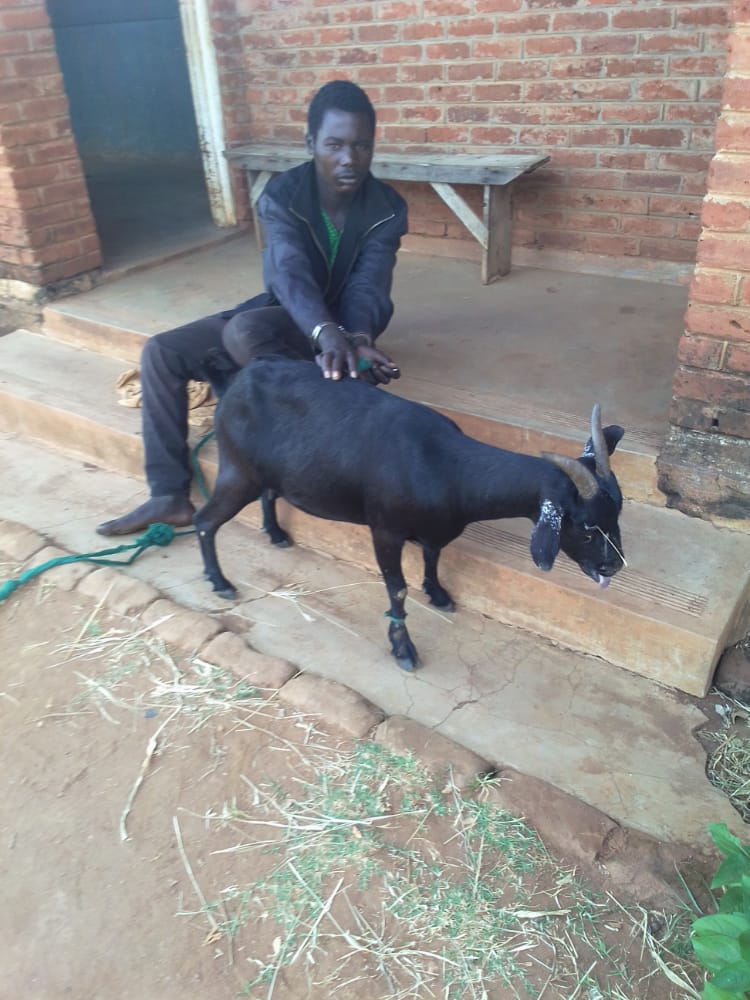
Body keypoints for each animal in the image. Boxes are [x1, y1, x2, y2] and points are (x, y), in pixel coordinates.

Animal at [195, 356, 625, 671]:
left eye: (617, 513)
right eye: (585, 528)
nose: (613, 566)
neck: (446, 467)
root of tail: (231, 382)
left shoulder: (434, 529)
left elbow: (434, 555)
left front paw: (437, 593)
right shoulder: (384, 529)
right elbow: (397, 589)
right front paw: (403, 649)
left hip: (267, 471)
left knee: (268, 495)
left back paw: (276, 534)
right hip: (237, 471)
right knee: (204, 521)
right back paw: (220, 582)